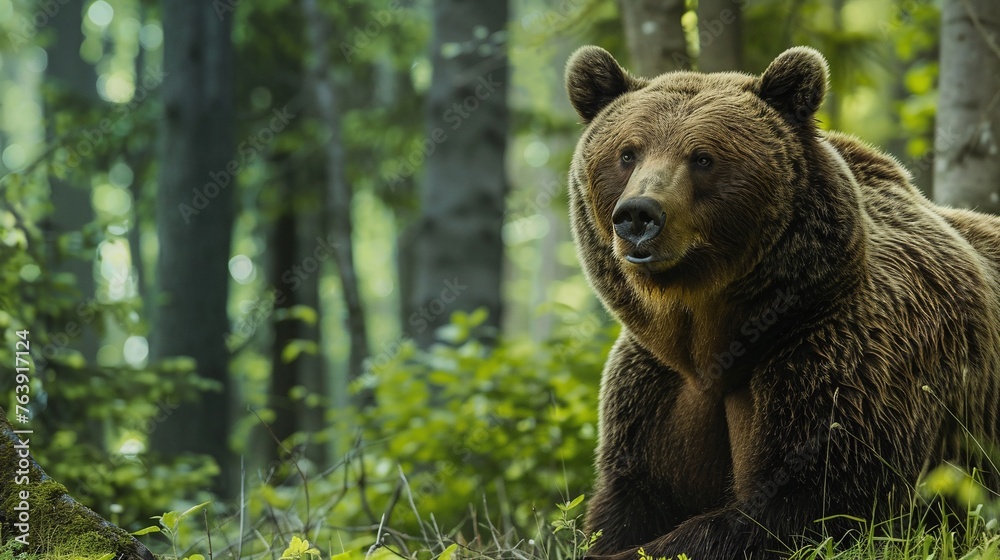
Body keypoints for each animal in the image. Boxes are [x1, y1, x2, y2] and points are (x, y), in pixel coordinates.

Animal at [564, 45, 1000, 559]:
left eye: (703, 157)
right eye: (627, 153)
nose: (638, 215)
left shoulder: (837, 359)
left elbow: (809, 508)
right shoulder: (654, 388)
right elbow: (629, 500)